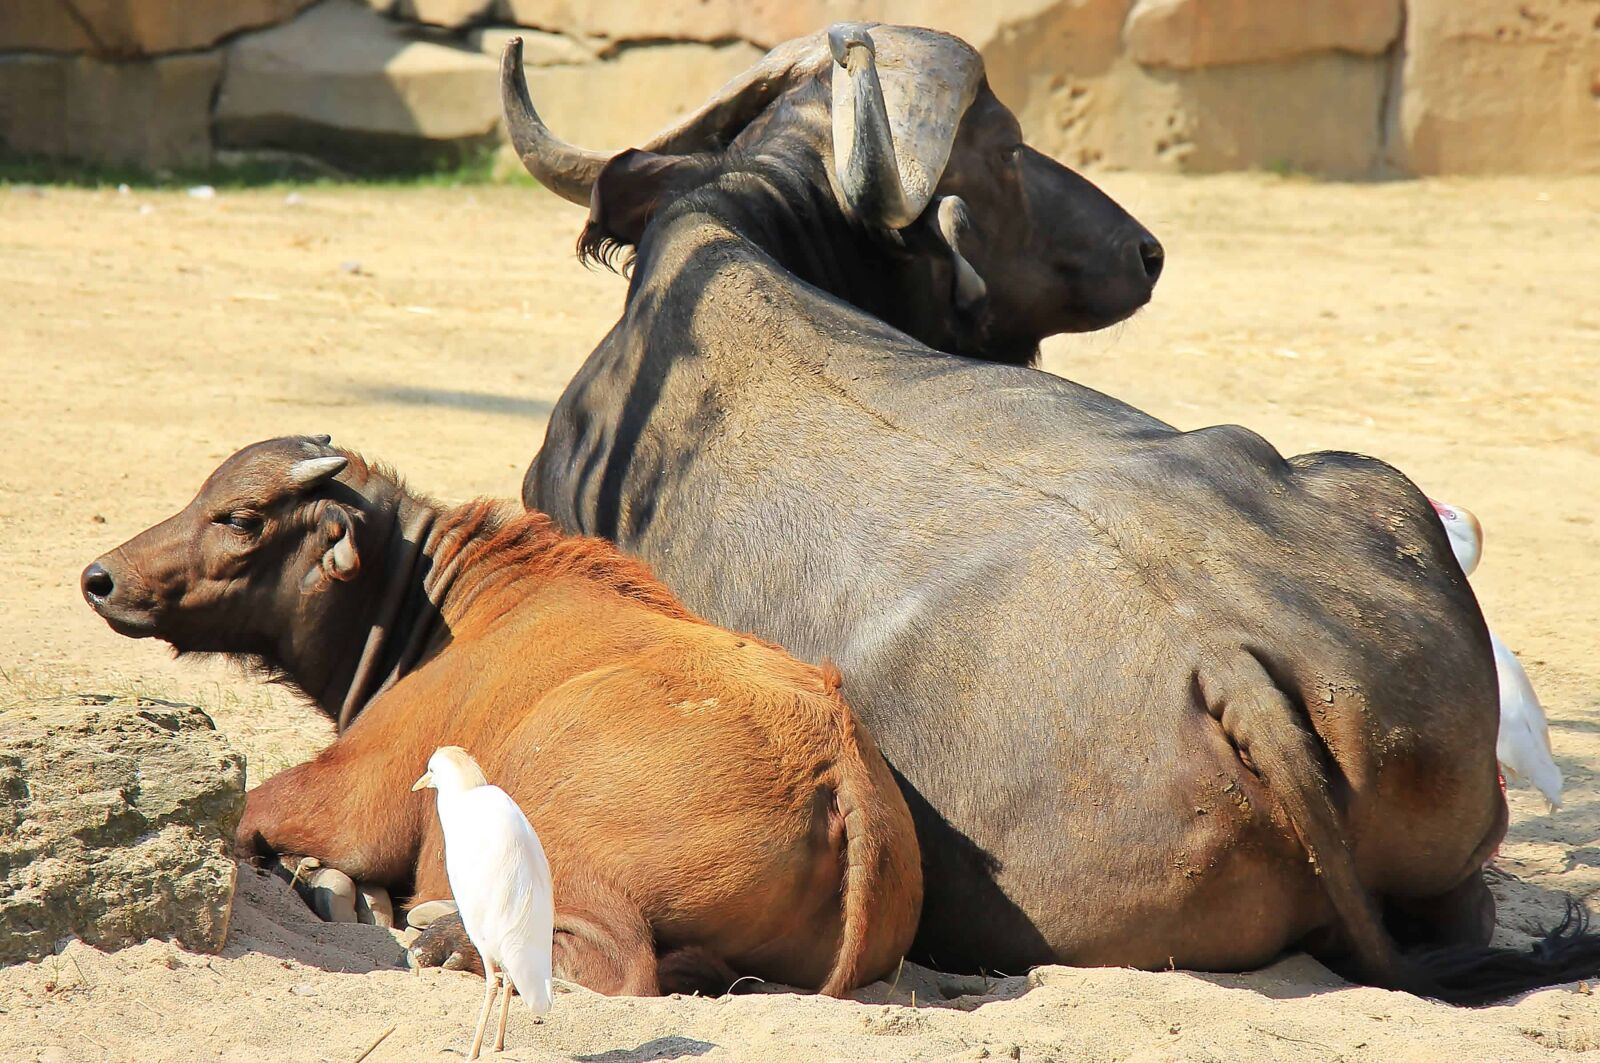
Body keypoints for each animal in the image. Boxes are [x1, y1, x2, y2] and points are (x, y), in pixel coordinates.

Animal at [80, 436, 922, 997]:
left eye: (243, 516)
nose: (102, 577)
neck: (442, 608)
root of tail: (835, 764)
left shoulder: (353, 794)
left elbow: (257, 811)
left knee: (617, 963)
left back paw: (446, 937)